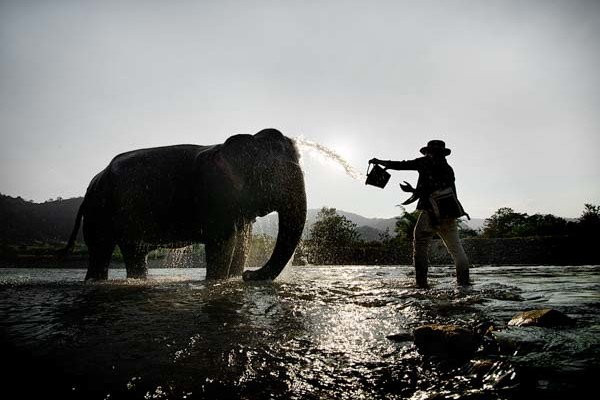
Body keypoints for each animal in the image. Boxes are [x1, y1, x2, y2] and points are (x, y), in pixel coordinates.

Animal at [61, 128, 308, 282]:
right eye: (272, 173)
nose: (250, 274)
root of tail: (92, 184)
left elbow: (242, 243)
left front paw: (235, 278)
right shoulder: (215, 196)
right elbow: (223, 242)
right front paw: (220, 281)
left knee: (134, 253)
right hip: (99, 212)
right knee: (101, 250)